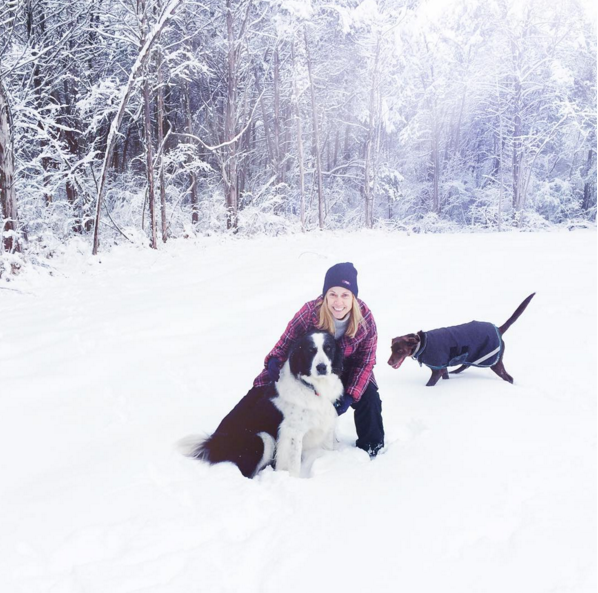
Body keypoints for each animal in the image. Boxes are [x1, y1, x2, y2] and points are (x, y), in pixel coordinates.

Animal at [186, 330, 346, 478]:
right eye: (310, 350)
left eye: (328, 348)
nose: (321, 367)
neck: (312, 387)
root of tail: (215, 443)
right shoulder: (292, 432)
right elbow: (293, 463)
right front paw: (293, 480)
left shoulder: (326, 424)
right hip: (264, 439)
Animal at [392, 294, 536, 386]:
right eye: (391, 349)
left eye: (400, 350)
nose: (388, 362)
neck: (422, 343)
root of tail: (498, 329)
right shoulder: (443, 368)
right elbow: (446, 375)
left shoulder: (437, 370)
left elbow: (429, 384)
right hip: (474, 355)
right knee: (464, 365)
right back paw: (456, 372)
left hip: (494, 363)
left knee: (509, 377)